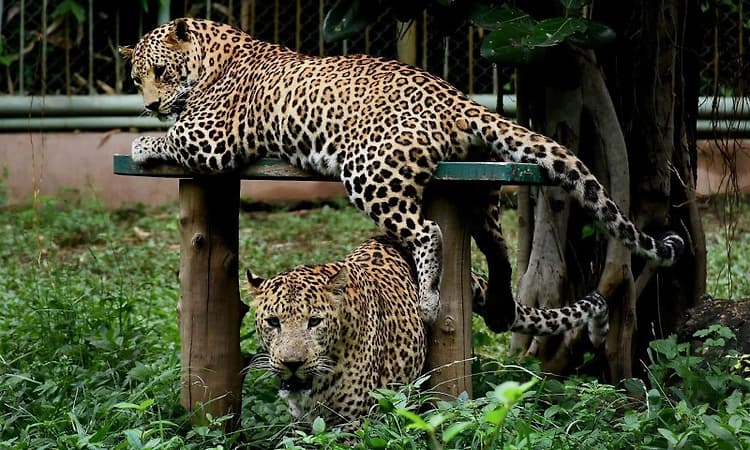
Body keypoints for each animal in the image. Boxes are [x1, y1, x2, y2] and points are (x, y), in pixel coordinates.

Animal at [120, 17, 684, 325]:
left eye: (160, 72)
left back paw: (431, 298)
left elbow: (171, 136)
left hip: (369, 172)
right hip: (478, 187)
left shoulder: (210, 141)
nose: (149, 105)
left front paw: (142, 141)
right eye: (135, 77)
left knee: (430, 230)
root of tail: (459, 99)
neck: (215, 54)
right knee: (496, 245)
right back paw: (501, 304)